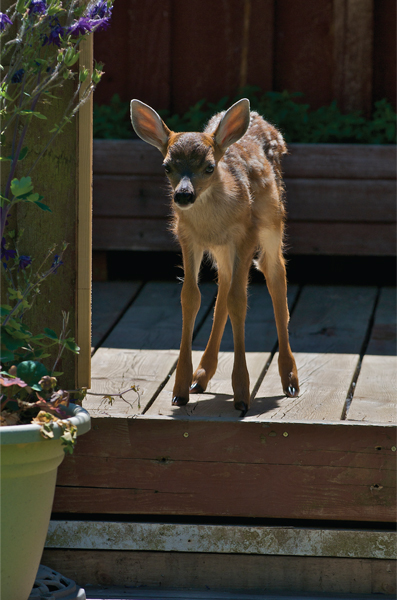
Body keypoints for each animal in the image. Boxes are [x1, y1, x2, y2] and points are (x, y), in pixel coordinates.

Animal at [128, 99, 298, 418]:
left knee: (275, 276)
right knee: (225, 286)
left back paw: (290, 379)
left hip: (273, 221)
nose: (183, 195)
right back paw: (201, 376)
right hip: (222, 250)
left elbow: (239, 301)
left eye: (209, 166)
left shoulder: (246, 234)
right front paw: (180, 390)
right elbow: (191, 297)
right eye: (166, 166)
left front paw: (242, 394)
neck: (212, 221)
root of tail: (262, 120)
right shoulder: (187, 237)